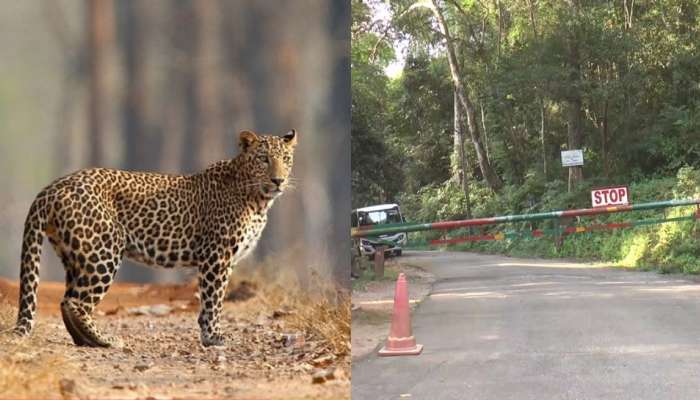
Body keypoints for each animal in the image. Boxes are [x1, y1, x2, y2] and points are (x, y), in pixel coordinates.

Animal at [13, 129, 298, 346]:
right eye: (263, 159)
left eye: (285, 158)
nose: (278, 180)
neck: (258, 200)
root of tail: (52, 188)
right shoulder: (217, 256)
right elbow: (213, 299)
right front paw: (214, 336)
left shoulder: (224, 260)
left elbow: (209, 302)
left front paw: (208, 334)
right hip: (103, 252)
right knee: (76, 302)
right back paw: (105, 340)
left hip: (75, 255)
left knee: (66, 301)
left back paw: (86, 341)